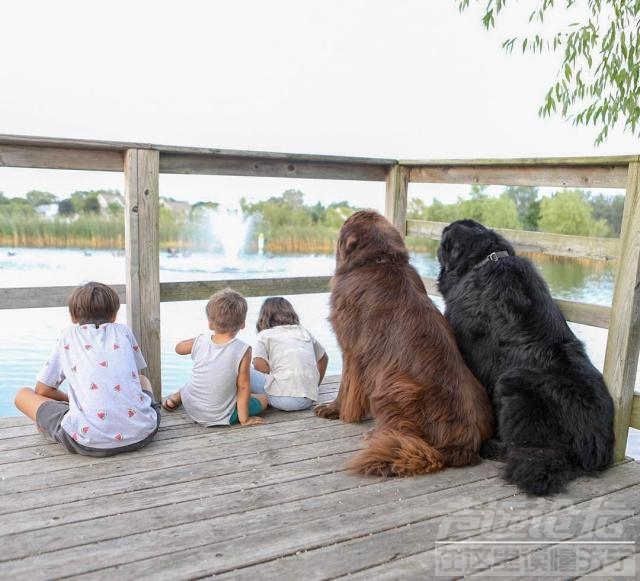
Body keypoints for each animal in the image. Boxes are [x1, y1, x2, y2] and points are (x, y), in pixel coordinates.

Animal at [316, 211, 496, 474]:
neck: (380, 260)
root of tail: (464, 445)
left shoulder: (352, 348)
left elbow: (346, 386)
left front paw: (333, 409)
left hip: (393, 387)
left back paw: (375, 436)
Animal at [438, 219, 612, 494]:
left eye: (446, 240)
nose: (443, 229)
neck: (484, 261)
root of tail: (592, 445)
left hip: (513, 385)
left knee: (517, 447)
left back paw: (490, 446)